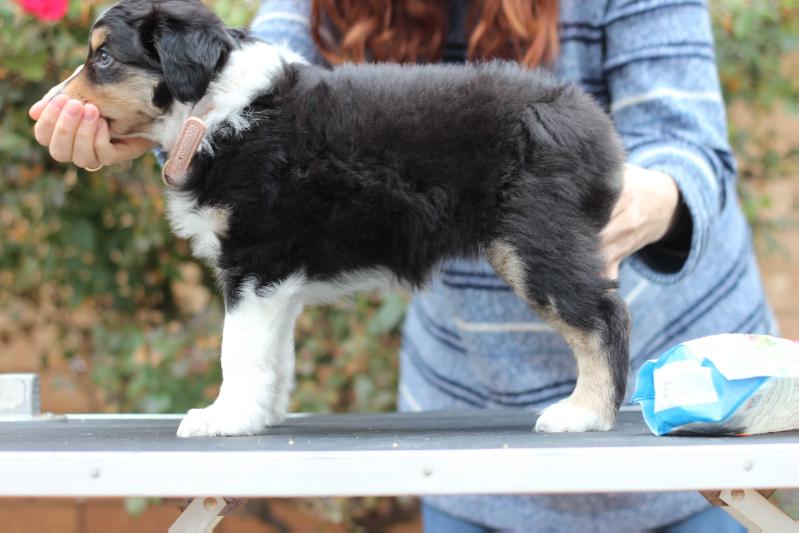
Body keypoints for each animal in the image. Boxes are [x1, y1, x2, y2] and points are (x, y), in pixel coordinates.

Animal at [53, 0, 636, 436]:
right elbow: (275, 353)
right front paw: (262, 414)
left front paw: (223, 417)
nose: (51, 102)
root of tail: (590, 120)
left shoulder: (254, 261)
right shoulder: (277, 282)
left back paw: (584, 412)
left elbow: (236, 349)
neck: (210, 111)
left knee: (602, 318)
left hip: (535, 241)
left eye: (103, 58)